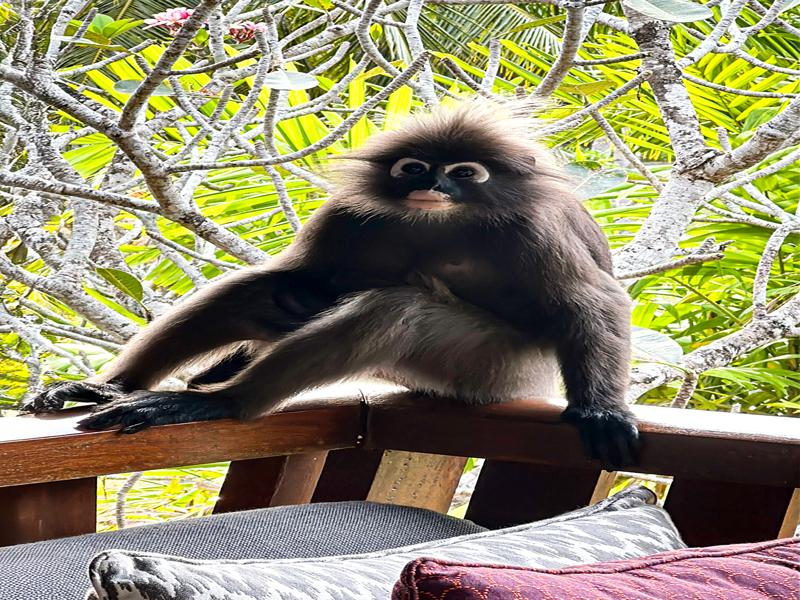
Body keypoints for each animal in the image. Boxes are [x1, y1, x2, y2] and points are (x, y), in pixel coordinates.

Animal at [22, 102, 639, 468]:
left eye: (464, 172)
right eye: (414, 168)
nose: (435, 184)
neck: (438, 223)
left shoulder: (533, 230)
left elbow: (593, 303)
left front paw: (601, 411)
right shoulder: (349, 216)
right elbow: (292, 278)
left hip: (498, 369)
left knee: (397, 311)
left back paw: (219, 402)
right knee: (262, 291)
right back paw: (115, 388)